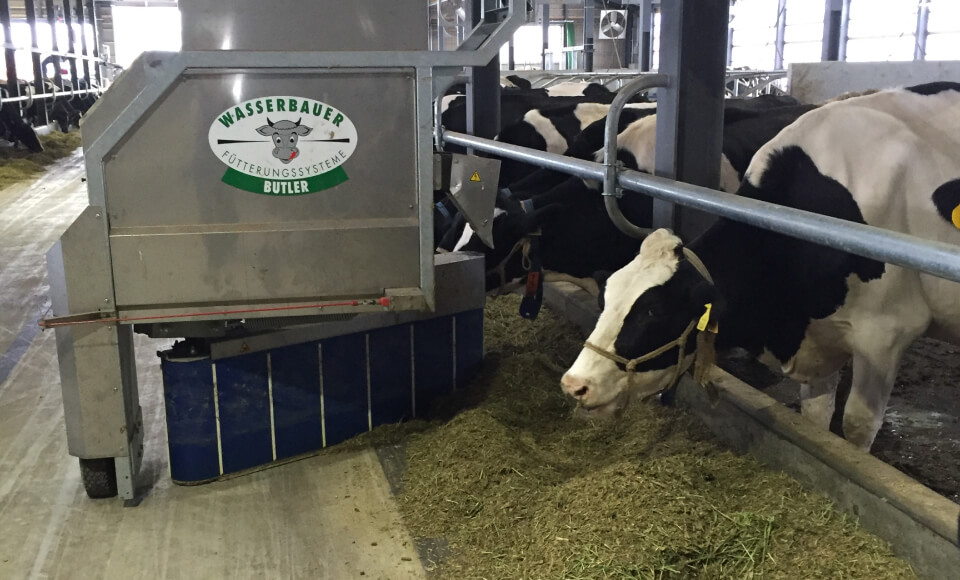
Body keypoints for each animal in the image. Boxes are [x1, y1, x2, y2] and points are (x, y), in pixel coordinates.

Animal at [560, 82, 960, 454]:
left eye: (653, 311)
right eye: (606, 298)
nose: (575, 384)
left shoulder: (886, 334)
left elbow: (857, 427)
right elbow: (816, 416)